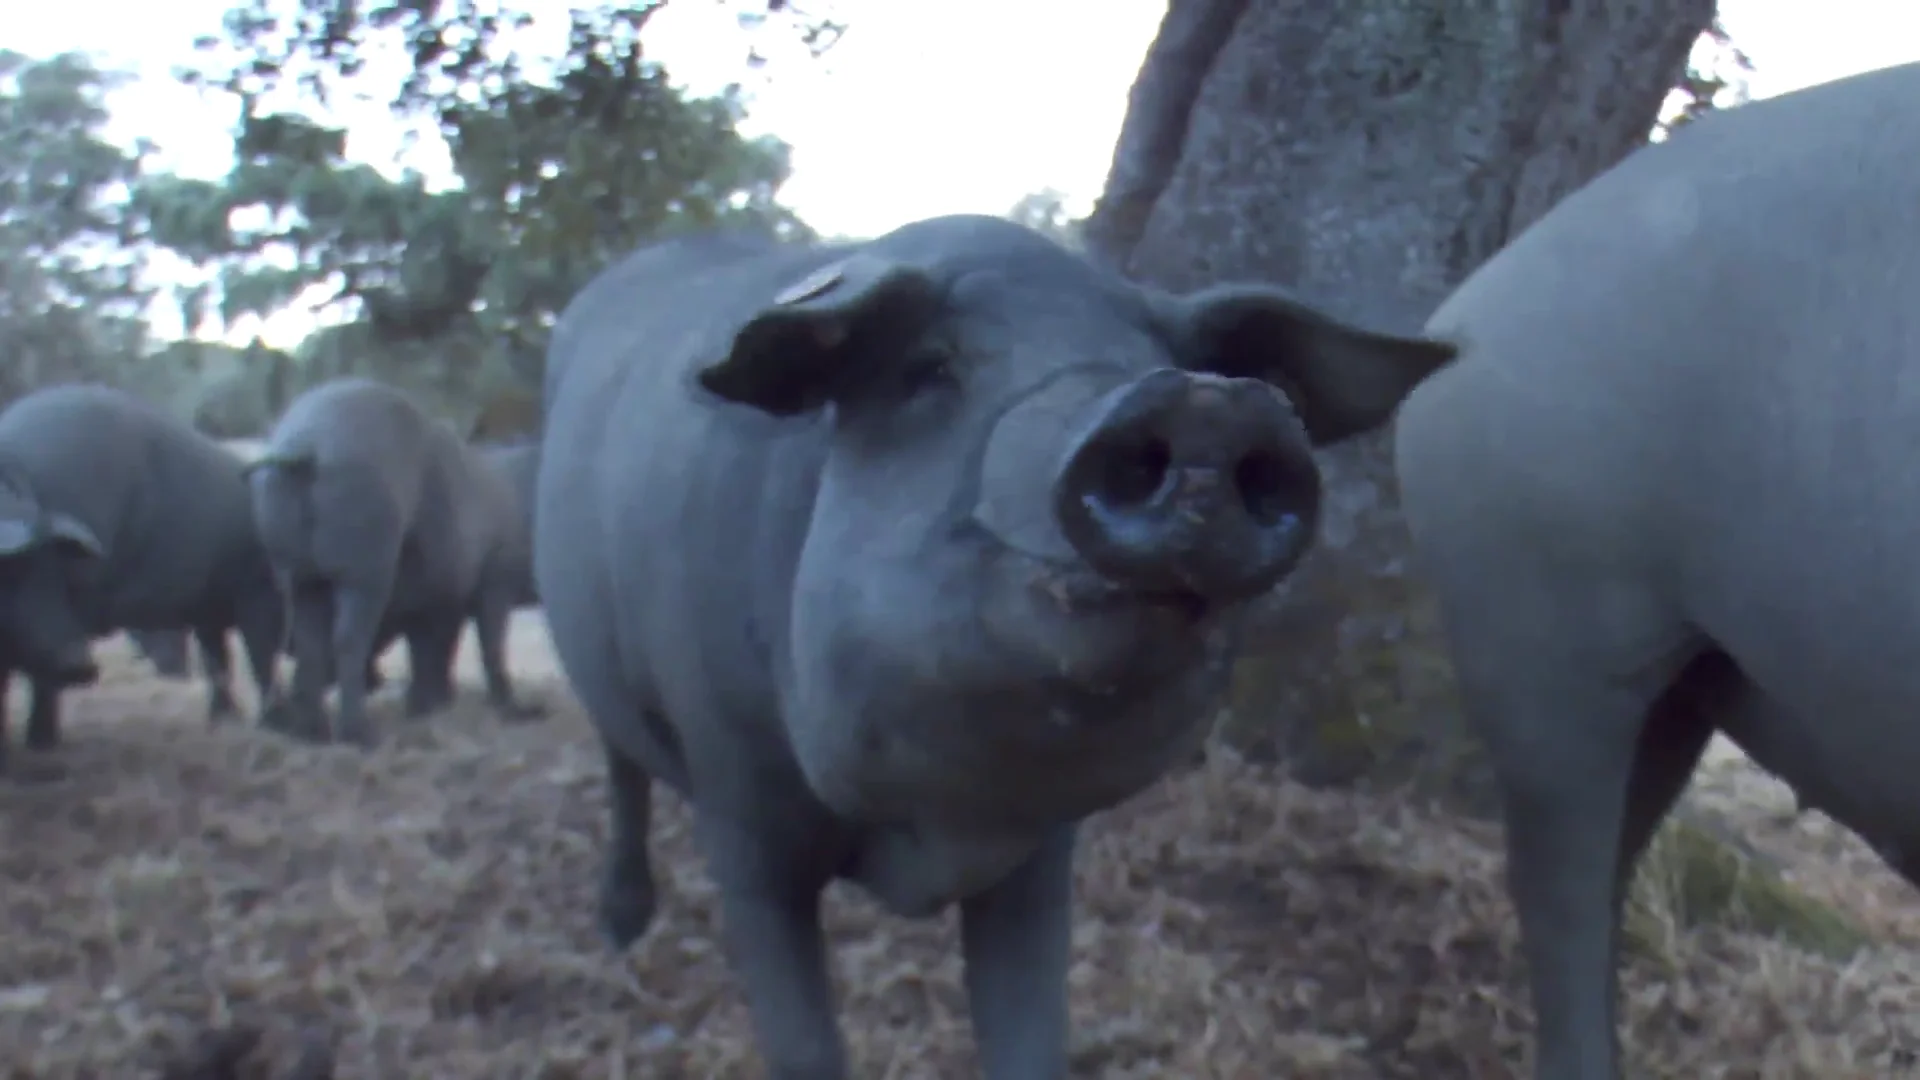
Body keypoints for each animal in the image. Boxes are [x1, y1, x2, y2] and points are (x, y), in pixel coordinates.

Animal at [0, 384, 285, 768]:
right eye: (15, 570)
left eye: (59, 570)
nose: (80, 663)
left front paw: (40, 746)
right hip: (213, 604)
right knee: (222, 657)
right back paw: (226, 723)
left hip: (248, 593)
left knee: (255, 658)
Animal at [245, 378, 542, 746]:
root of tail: (305, 448)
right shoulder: (484, 583)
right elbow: (461, 646)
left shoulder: (444, 598)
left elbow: (438, 647)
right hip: (362, 570)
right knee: (348, 639)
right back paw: (361, 735)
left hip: (297, 573)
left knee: (312, 641)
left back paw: (314, 733)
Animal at [535, 214, 1455, 1077]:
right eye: (928, 368)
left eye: (1154, 355)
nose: (1208, 403)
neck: (934, 825)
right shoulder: (739, 805)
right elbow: (803, 1047)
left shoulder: (1041, 849)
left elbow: (1033, 1038)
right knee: (620, 763)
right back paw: (621, 929)